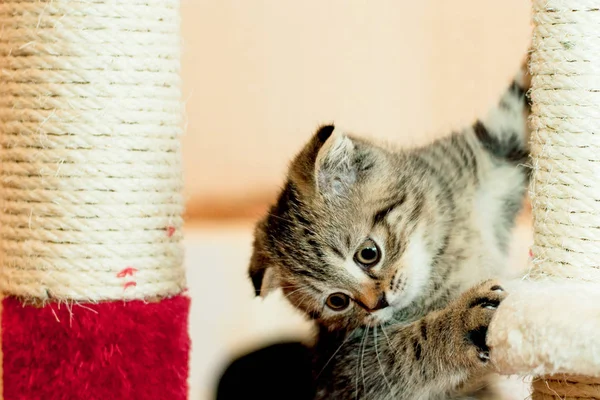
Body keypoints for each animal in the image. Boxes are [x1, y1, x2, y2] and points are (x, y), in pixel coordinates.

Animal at [248, 62, 528, 400]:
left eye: (368, 253)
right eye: (337, 301)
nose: (377, 303)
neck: (440, 250)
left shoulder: (490, 150)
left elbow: (518, 102)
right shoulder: (349, 369)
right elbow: (410, 346)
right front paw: (464, 323)